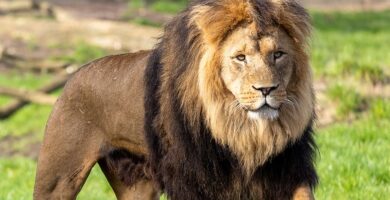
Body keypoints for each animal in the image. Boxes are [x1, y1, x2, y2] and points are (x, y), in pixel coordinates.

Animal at [34, 0, 316, 200]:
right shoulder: (192, 178)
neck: (241, 130)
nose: (266, 89)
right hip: (57, 178)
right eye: (240, 58)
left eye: (278, 54)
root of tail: (73, 75)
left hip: (137, 185)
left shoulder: (287, 169)